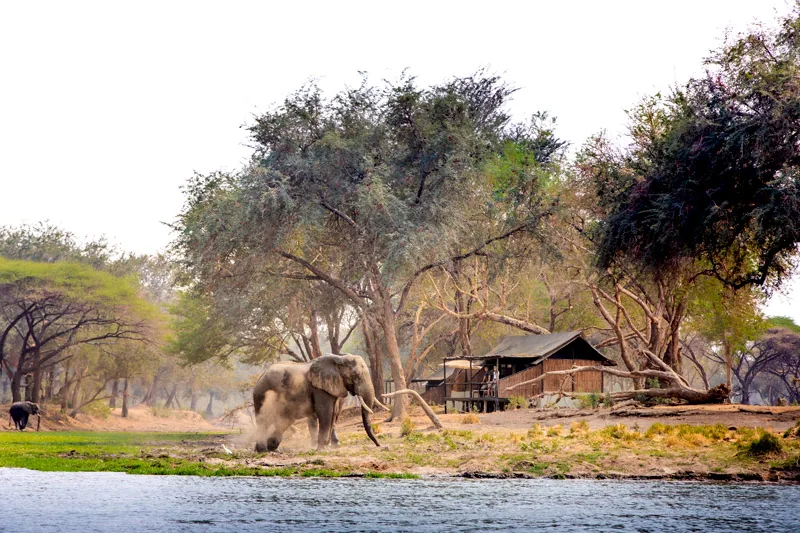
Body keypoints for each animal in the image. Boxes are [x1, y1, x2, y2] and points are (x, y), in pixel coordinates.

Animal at [252, 354, 381, 452]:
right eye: (355, 375)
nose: (378, 445)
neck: (340, 358)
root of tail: (261, 376)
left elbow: (332, 414)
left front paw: (326, 448)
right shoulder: (319, 388)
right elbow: (325, 412)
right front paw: (322, 449)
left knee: (282, 420)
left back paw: (271, 449)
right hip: (263, 394)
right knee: (265, 420)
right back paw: (263, 450)